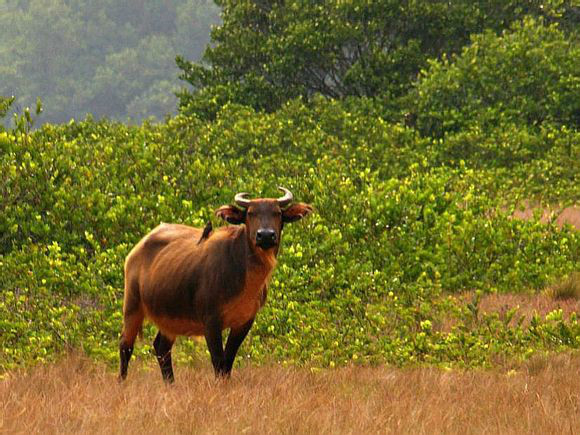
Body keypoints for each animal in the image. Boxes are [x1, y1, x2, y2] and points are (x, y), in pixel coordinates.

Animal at [117, 187, 312, 382]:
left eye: (277, 213)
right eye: (250, 213)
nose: (265, 235)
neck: (244, 277)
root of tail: (136, 250)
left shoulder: (245, 321)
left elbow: (228, 360)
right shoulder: (211, 321)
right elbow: (218, 360)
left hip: (168, 317)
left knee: (161, 347)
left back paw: (170, 383)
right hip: (132, 306)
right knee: (126, 345)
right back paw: (122, 381)